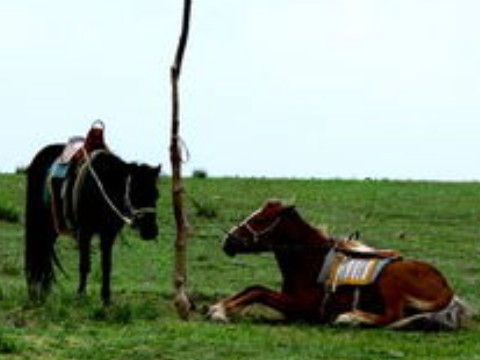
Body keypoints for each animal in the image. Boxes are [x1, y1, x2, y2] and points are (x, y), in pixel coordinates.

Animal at [208, 200, 470, 330]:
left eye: (262, 219)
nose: (228, 241)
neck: (311, 262)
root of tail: (447, 290)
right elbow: (253, 288)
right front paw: (218, 307)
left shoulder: (300, 306)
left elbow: (259, 292)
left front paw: (221, 311)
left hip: (390, 278)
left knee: (392, 315)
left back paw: (350, 318)